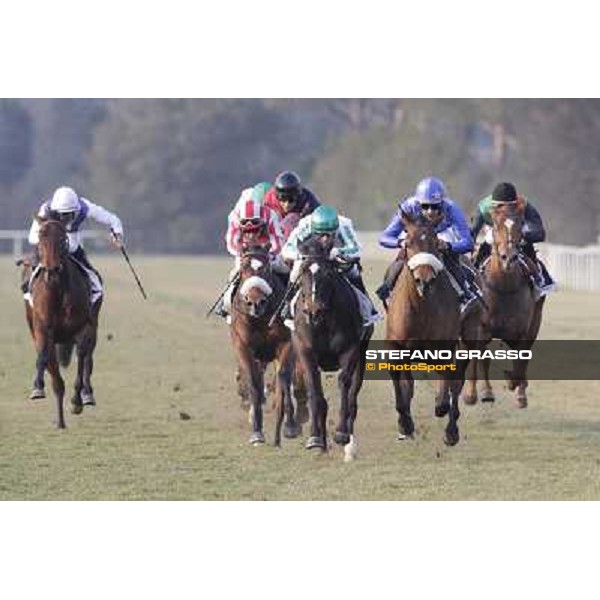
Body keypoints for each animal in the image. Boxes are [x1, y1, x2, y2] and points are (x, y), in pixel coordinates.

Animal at [22, 218, 101, 428]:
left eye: (62, 238)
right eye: (41, 235)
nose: (52, 270)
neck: (58, 290)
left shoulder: (83, 328)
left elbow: (82, 356)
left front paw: (77, 400)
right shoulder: (43, 330)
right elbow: (44, 358)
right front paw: (37, 388)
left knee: (88, 359)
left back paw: (86, 395)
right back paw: (60, 420)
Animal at [227, 244, 300, 446]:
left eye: (266, 269)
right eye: (243, 269)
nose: (256, 302)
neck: (260, 318)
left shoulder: (287, 343)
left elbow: (284, 378)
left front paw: (290, 426)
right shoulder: (243, 346)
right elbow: (253, 381)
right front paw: (257, 431)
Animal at [290, 237, 370, 458]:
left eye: (328, 273)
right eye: (303, 272)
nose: (313, 311)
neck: (323, 322)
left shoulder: (350, 349)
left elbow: (345, 384)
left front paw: (342, 433)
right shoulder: (305, 351)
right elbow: (314, 390)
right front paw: (315, 438)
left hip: (362, 354)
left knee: (353, 396)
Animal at [384, 211, 474, 446]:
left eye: (435, 242)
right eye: (408, 243)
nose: (423, 279)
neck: (421, 306)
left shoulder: (446, 346)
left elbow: (447, 386)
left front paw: (441, 406)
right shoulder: (396, 346)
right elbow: (400, 384)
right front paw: (405, 423)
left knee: (456, 381)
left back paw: (451, 431)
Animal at [460, 199, 544, 406]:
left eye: (520, 225)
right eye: (496, 226)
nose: (508, 257)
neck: (504, 286)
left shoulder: (523, 330)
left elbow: (520, 361)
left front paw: (516, 385)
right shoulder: (481, 327)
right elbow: (480, 356)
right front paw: (472, 394)